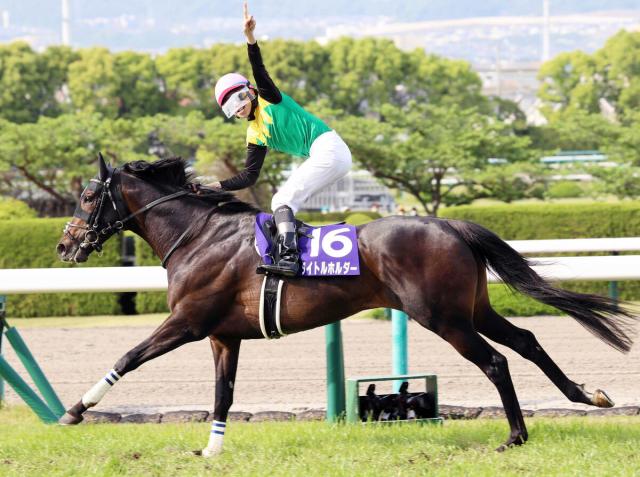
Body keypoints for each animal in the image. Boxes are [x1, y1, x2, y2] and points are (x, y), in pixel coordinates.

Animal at [56, 155, 636, 454]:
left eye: (87, 196)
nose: (64, 245)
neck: (197, 235)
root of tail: (450, 224)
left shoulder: (187, 322)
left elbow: (129, 357)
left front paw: (75, 410)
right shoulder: (223, 335)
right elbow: (223, 394)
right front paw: (211, 451)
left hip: (442, 317)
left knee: (496, 360)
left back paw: (516, 436)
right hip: (471, 308)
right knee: (527, 341)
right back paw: (586, 395)